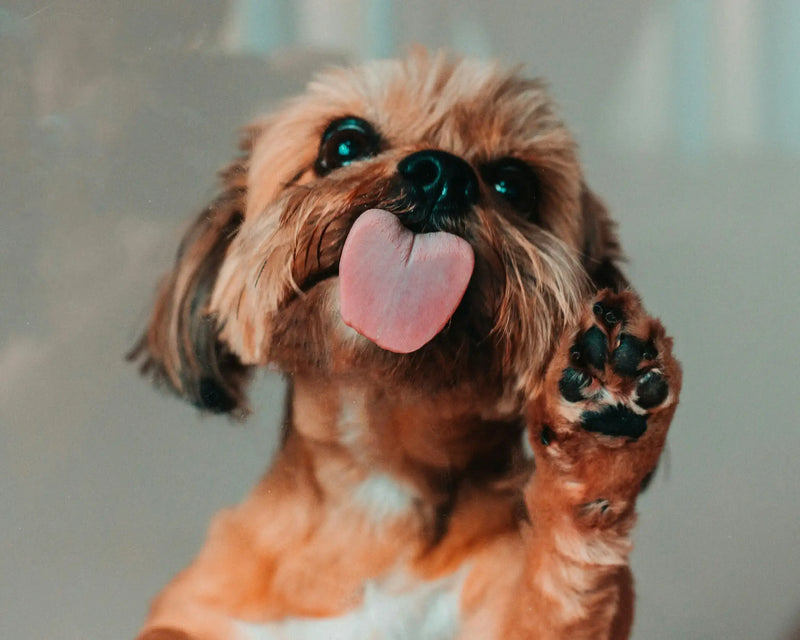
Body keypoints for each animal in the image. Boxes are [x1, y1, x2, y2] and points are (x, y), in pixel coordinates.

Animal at [131, 51, 680, 640]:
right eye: (343, 143)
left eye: (515, 185)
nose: (443, 173)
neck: (380, 475)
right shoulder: (198, 612)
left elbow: (558, 583)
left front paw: (603, 439)